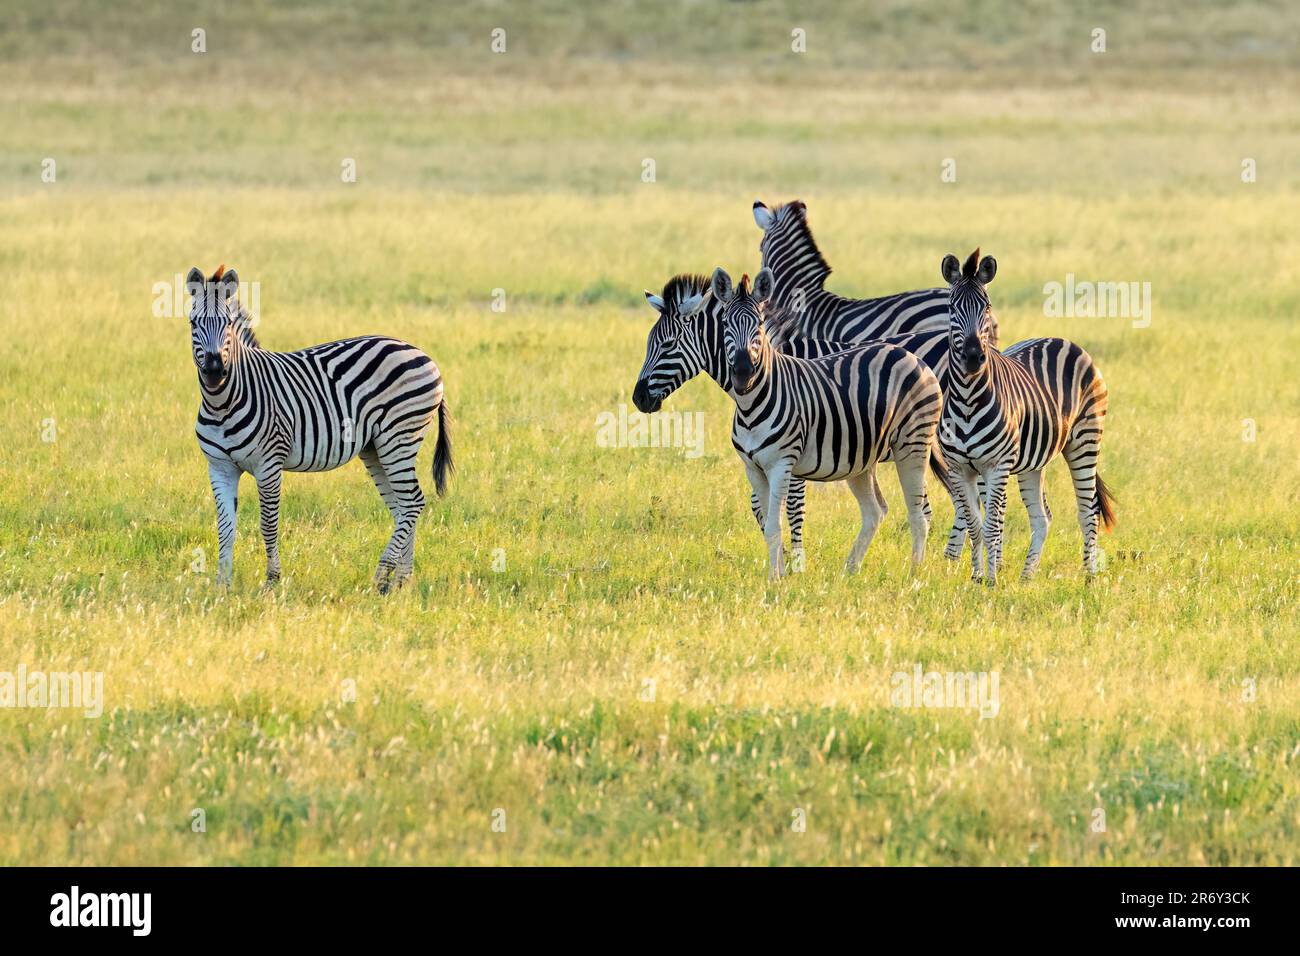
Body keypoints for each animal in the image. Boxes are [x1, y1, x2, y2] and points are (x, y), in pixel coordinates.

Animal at [187, 265, 452, 592]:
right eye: (194, 323)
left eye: (226, 325)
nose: (214, 372)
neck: (222, 403)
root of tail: (423, 354)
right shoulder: (220, 467)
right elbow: (225, 527)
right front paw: (221, 586)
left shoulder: (269, 464)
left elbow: (268, 523)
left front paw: (272, 581)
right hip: (376, 448)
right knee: (403, 507)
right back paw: (400, 582)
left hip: (398, 437)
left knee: (413, 502)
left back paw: (381, 575)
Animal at [715, 266, 945, 580]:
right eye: (725, 323)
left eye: (759, 325)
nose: (742, 372)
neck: (752, 406)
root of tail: (911, 356)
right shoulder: (753, 468)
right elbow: (770, 526)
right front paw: (777, 575)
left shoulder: (781, 464)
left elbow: (774, 523)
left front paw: (776, 580)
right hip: (862, 458)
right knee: (874, 511)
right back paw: (850, 571)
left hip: (913, 445)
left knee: (918, 514)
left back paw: (914, 575)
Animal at [938, 249, 1116, 584]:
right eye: (952, 307)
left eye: (987, 306)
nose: (973, 357)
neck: (967, 398)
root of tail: (1062, 340)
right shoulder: (959, 468)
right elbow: (975, 525)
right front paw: (978, 578)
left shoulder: (996, 465)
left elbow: (992, 526)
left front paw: (991, 582)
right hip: (1033, 462)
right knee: (1042, 517)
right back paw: (1026, 577)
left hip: (1085, 441)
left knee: (1088, 511)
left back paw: (1089, 579)